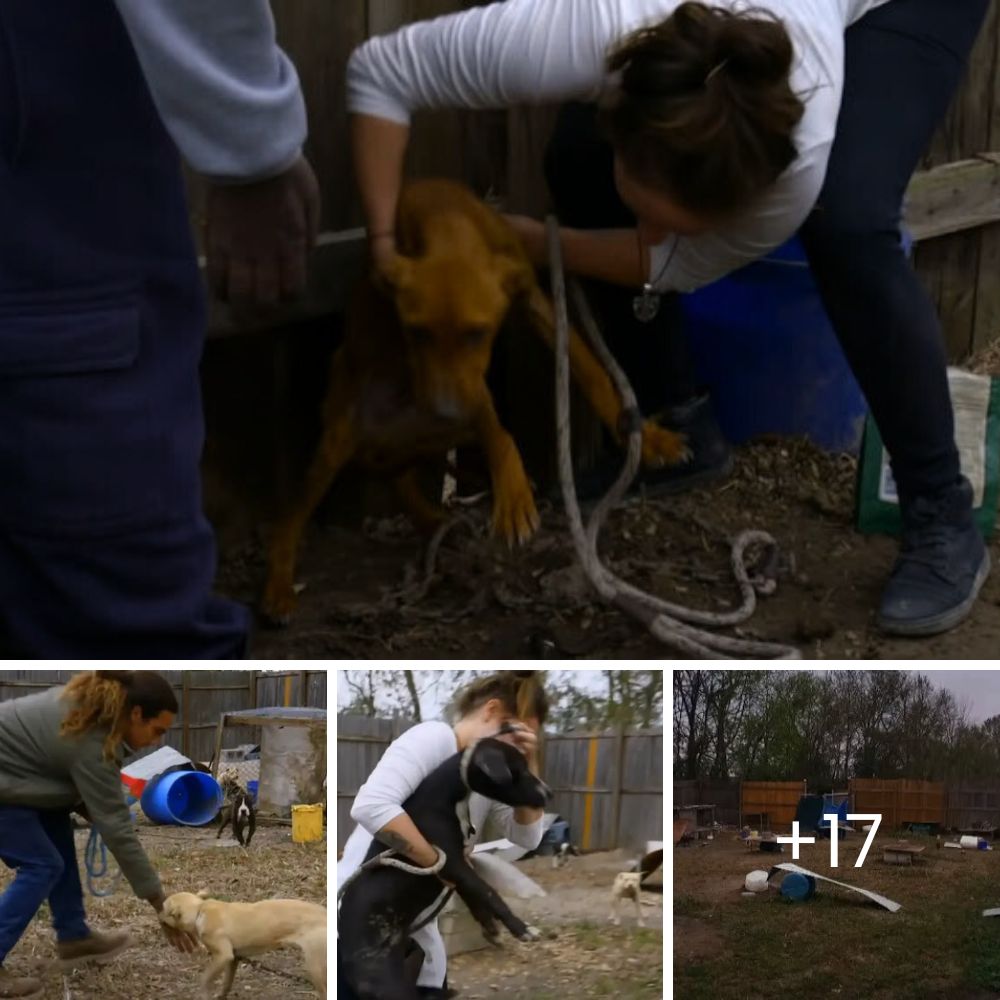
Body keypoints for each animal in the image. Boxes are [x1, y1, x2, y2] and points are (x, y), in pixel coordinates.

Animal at [159, 892, 324, 1000]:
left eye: (163, 907)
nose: (157, 914)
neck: (200, 910)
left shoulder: (223, 956)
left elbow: (204, 979)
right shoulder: (234, 958)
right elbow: (226, 983)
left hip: (316, 968)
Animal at [258, 176, 688, 620]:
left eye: (477, 333)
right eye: (416, 332)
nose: (444, 410)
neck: (447, 221)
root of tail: (384, 442)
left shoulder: (530, 302)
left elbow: (588, 369)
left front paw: (648, 437)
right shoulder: (457, 380)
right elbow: (497, 429)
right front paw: (514, 498)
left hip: (433, 437)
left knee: (405, 477)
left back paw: (437, 521)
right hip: (339, 436)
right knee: (290, 521)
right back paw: (279, 586)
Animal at [340, 736, 552, 1000]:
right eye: (518, 771)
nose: (549, 793)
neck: (452, 796)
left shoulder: (457, 867)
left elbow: (474, 895)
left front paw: (490, 928)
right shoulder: (451, 861)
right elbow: (488, 892)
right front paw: (522, 929)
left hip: (414, 956)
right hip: (389, 983)